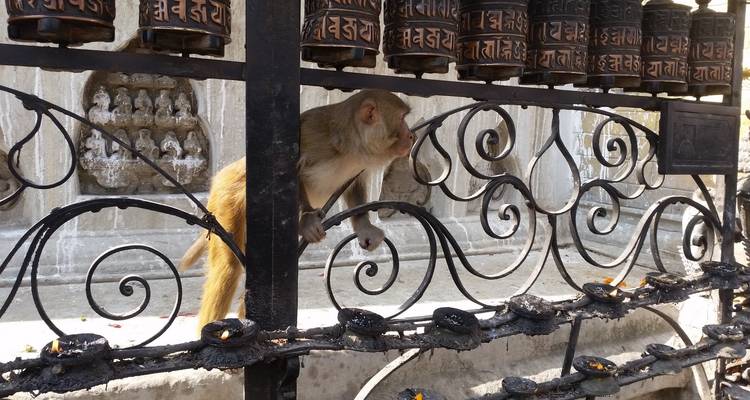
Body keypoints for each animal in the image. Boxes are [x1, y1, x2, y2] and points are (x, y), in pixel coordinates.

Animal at [179, 89, 415, 331]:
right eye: (402, 119)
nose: (411, 136)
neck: (351, 146)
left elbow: (353, 185)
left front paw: (364, 226)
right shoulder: (314, 137)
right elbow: (290, 172)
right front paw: (308, 218)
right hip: (226, 196)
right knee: (227, 269)